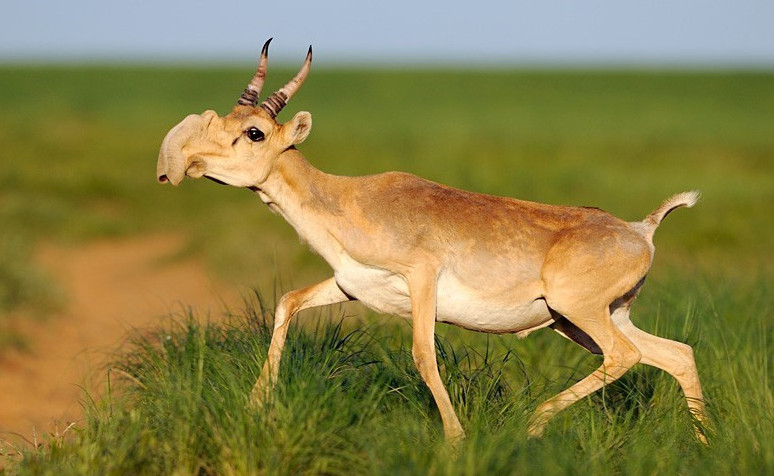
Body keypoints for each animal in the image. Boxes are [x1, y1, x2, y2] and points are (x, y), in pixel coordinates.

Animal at [156, 39, 708, 444]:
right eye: (225, 119)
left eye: (253, 132)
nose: (184, 162)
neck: (349, 199)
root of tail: (640, 230)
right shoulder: (350, 286)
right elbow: (287, 301)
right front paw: (257, 406)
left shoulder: (421, 279)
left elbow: (423, 354)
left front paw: (456, 440)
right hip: (588, 319)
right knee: (676, 354)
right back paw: (703, 445)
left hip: (579, 313)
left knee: (626, 357)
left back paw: (533, 424)